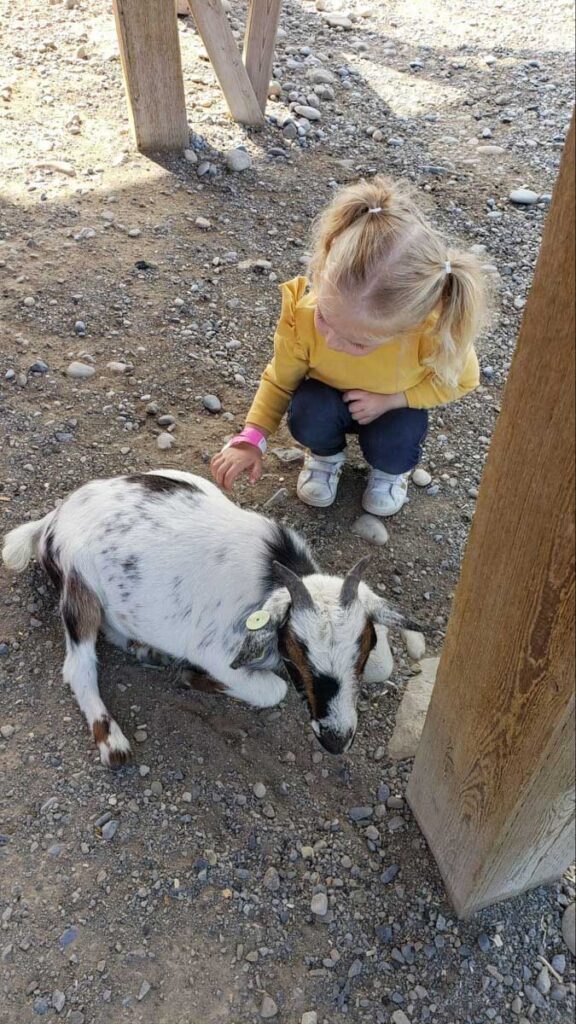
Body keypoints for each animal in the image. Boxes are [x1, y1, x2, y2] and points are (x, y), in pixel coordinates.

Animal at [2, 468, 420, 765]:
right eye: (297, 651)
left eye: (361, 652)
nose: (336, 740)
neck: (273, 572)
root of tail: (52, 521)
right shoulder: (217, 653)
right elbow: (273, 689)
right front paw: (191, 677)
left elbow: (383, 665)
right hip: (80, 590)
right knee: (79, 667)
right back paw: (113, 742)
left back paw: (148, 650)